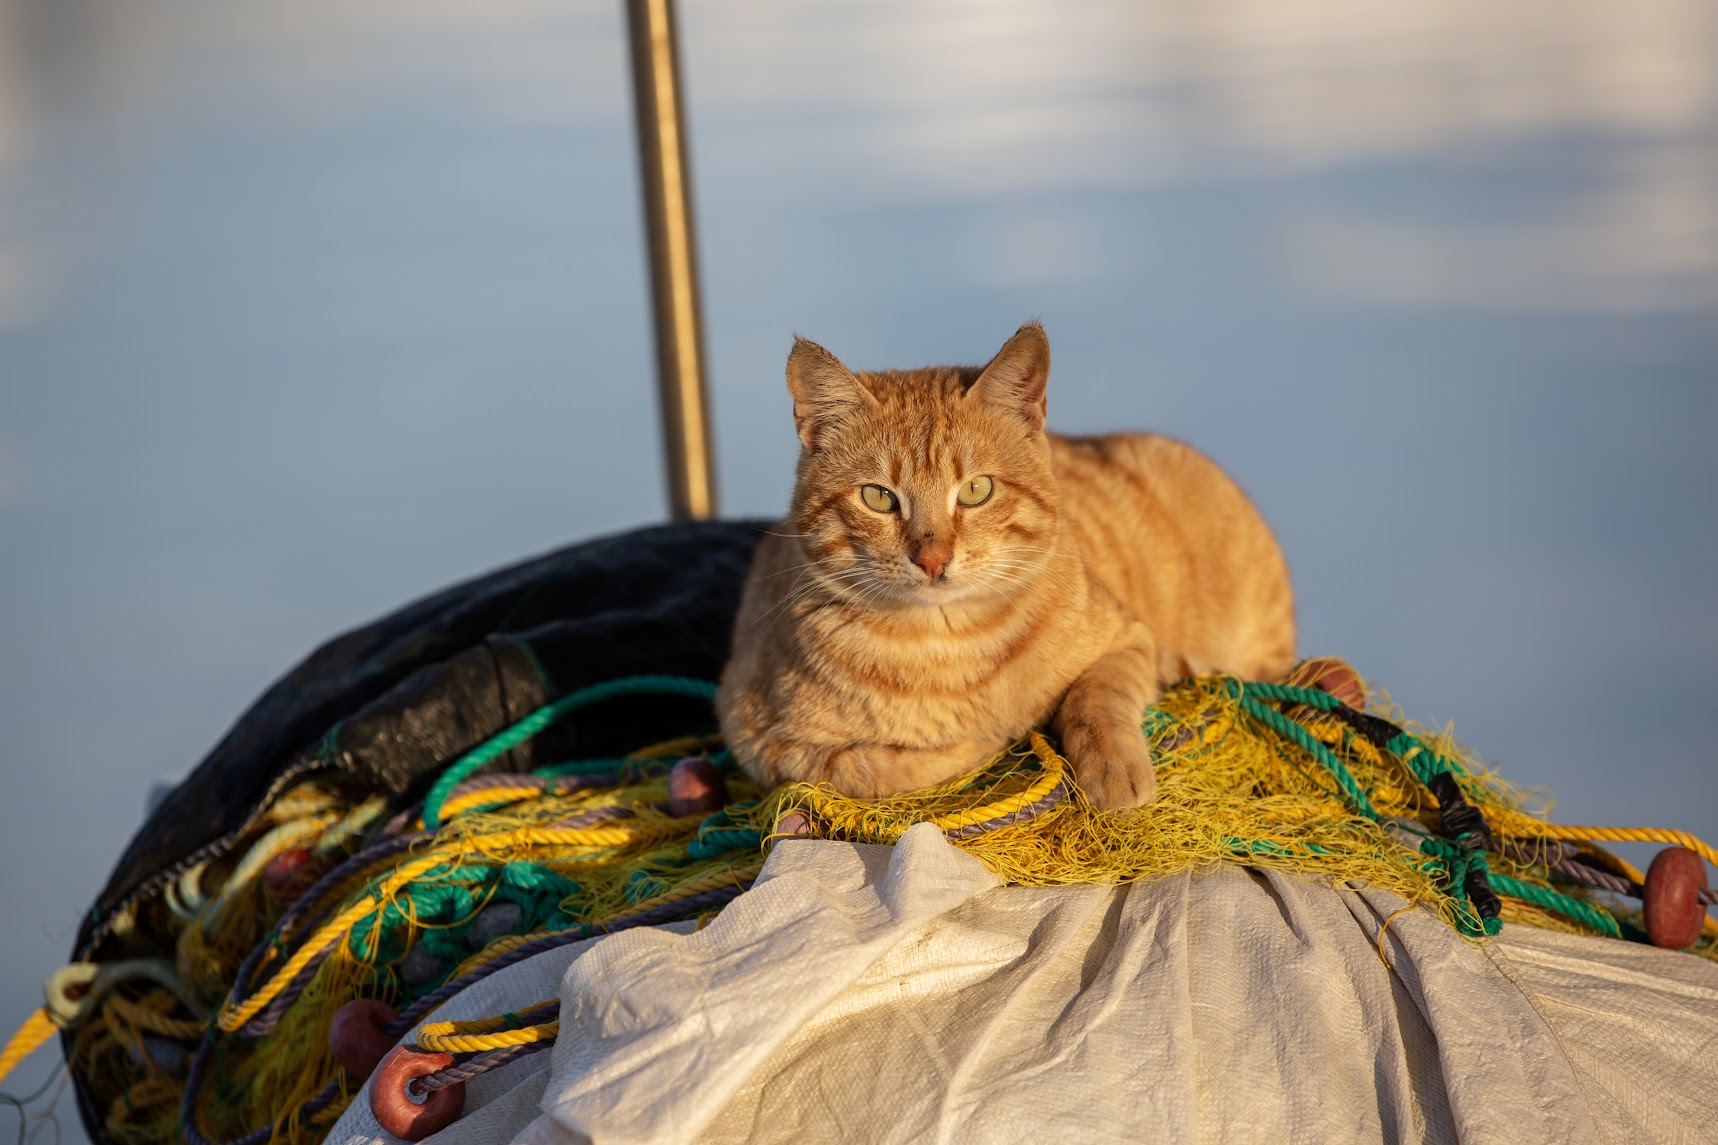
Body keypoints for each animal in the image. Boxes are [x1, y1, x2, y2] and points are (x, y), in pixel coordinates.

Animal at [718, 316, 1291, 808]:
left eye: (976, 490)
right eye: (878, 497)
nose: (933, 559)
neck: (948, 649)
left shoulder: (1126, 639)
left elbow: (1097, 700)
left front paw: (1115, 772)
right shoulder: (765, 743)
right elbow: (882, 768)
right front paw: (989, 741)